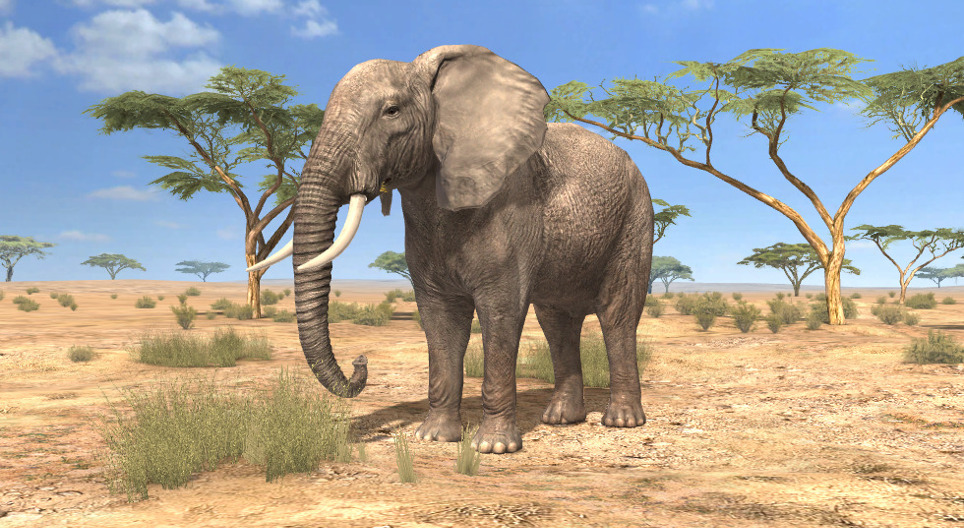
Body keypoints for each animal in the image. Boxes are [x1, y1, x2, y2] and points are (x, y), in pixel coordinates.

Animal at [248, 44, 654, 454]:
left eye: (391, 111)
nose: (360, 362)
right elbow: (439, 318)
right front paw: (434, 436)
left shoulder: (512, 207)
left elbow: (501, 312)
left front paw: (493, 447)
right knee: (557, 321)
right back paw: (560, 419)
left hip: (635, 216)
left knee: (617, 313)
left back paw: (621, 421)